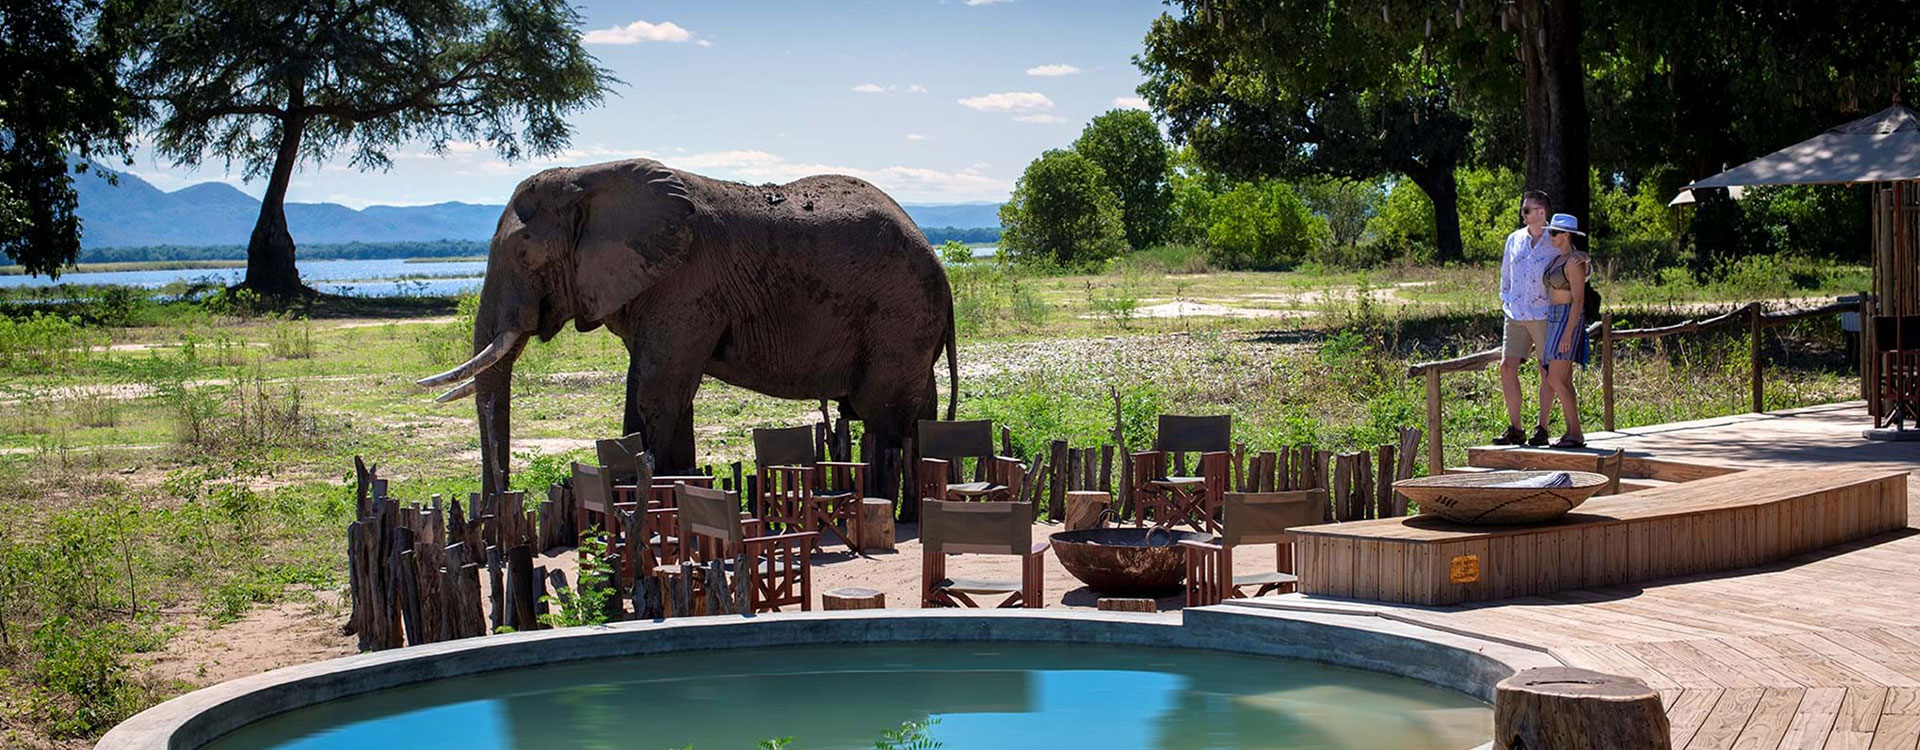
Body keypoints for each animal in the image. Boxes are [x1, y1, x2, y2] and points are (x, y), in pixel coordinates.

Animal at [417, 158, 958, 497]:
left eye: (524, 254)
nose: (495, 505)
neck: (590, 177)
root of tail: (941, 268)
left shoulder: (685, 284)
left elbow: (658, 389)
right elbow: (655, 389)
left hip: (899, 315)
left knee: (882, 412)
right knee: (911, 412)